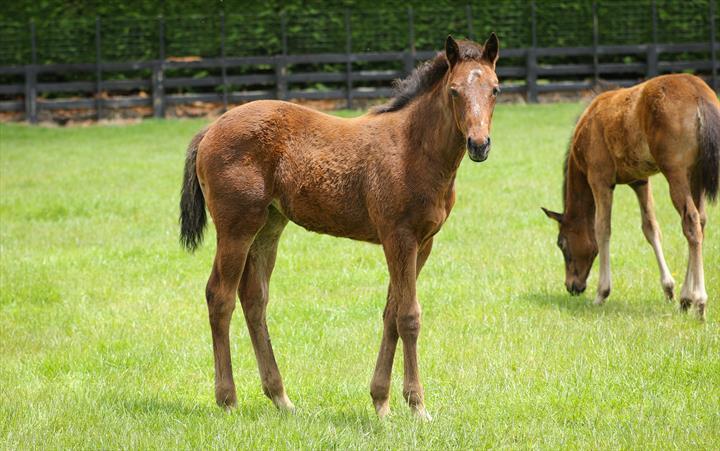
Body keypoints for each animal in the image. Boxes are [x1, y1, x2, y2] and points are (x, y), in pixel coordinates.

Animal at [180, 35, 500, 420]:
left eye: (495, 89)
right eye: (454, 91)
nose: (479, 145)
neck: (413, 149)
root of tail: (209, 129)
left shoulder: (423, 243)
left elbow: (391, 313)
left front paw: (381, 402)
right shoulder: (398, 237)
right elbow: (409, 316)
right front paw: (417, 406)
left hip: (268, 227)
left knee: (254, 298)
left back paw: (281, 398)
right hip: (236, 227)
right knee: (220, 296)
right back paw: (227, 399)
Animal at [544, 74, 716, 320]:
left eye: (561, 243)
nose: (572, 286)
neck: (587, 128)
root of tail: (699, 94)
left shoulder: (600, 180)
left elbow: (602, 229)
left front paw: (601, 293)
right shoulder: (640, 181)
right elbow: (650, 228)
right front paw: (668, 288)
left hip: (677, 174)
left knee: (691, 222)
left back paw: (699, 301)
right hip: (696, 176)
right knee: (700, 221)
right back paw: (686, 298)